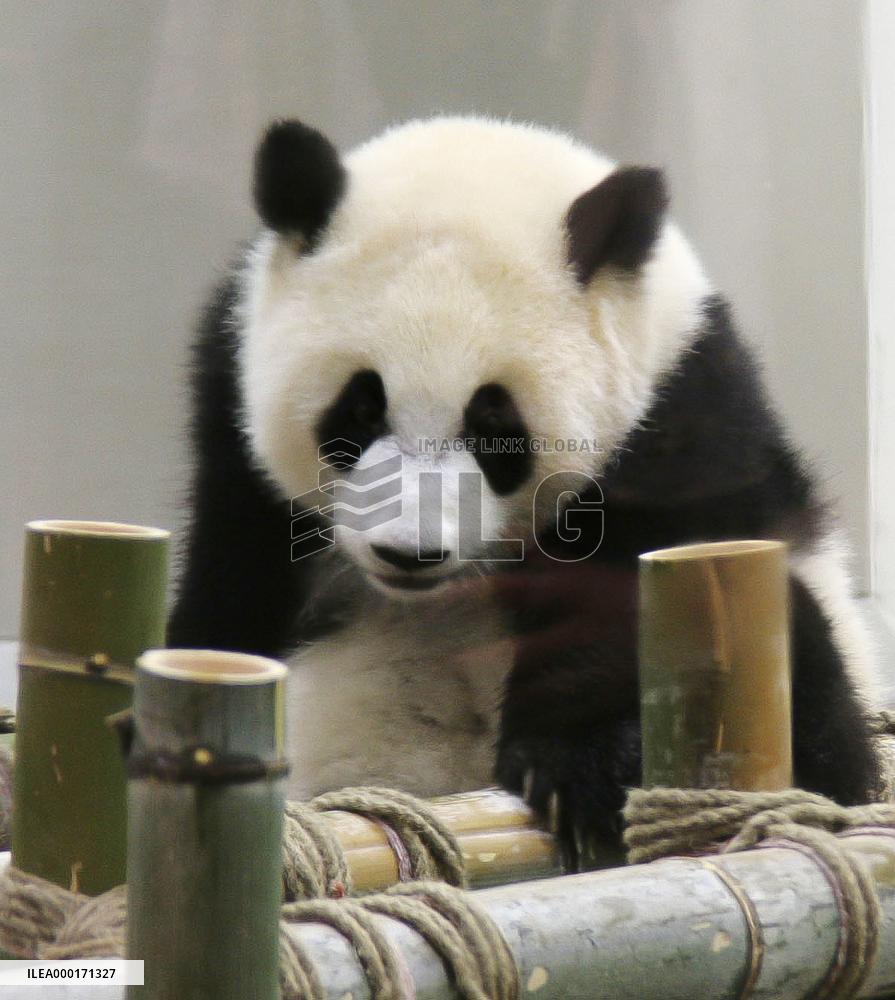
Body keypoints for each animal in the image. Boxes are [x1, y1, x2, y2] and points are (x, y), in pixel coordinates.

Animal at [169, 115, 883, 867]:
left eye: (495, 428)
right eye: (361, 409)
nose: (409, 553)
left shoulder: (681, 422)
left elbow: (623, 600)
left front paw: (579, 770)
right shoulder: (229, 438)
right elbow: (228, 599)